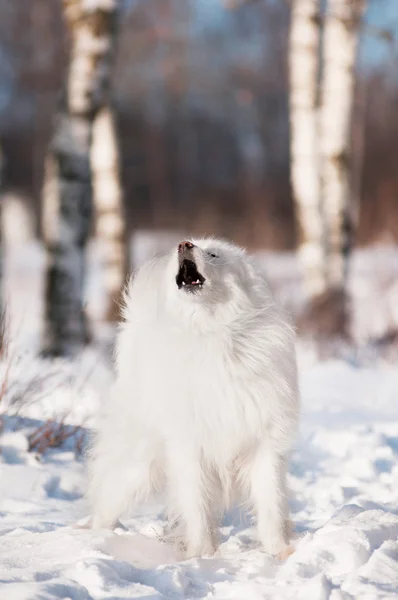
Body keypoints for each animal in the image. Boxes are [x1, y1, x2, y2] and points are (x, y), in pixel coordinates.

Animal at [87, 237, 298, 556]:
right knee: (107, 501)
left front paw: (280, 552)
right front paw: (202, 555)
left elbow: (271, 503)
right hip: (138, 466)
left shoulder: (263, 443)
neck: (212, 333)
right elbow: (197, 508)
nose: (184, 243)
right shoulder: (191, 449)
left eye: (213, 254)